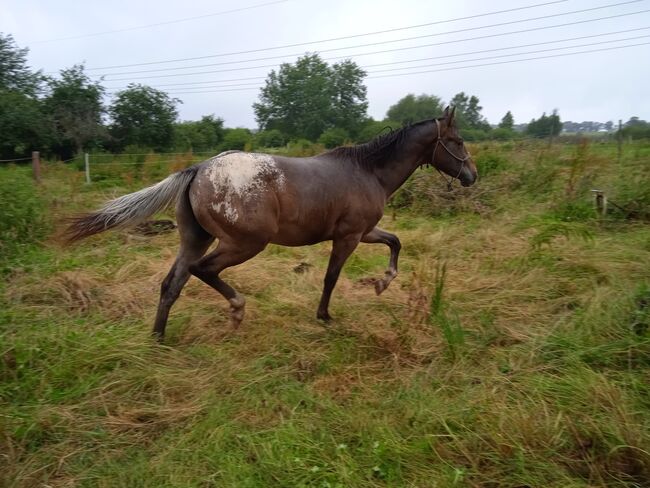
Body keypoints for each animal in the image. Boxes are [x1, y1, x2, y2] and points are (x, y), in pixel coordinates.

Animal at [64, 107, 476, 340]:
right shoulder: (348, 236)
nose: (472, 175)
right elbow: (331, 277)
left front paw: (382, 283)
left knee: (172, 284)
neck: (367, 172)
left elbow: (395, 241)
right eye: (456, 140)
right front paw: (325, 316)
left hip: (195, 239)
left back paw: (158, 338)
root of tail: (198, 169)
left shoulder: (363, 232)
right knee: (202, 271)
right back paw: (236, 310)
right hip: (245, 243)